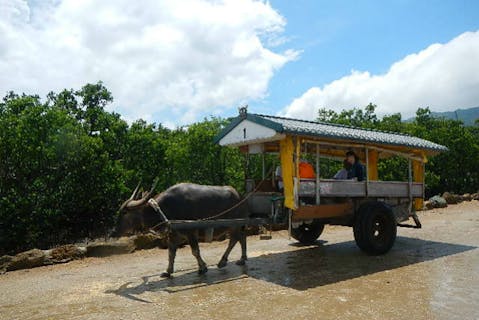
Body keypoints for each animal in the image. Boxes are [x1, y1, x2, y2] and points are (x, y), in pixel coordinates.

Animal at [117, 181, 249, 276]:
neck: (164, 210)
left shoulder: (191, 232)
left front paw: (202, 268)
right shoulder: (173, 234)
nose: (114, 231)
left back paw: (223, 261)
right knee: (241, 238)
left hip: (234, 225)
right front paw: (168, 271)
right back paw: (242, 259)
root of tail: (239, 196)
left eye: (124, 212)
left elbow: (195, 251)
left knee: (234, 239)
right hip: (236, 225)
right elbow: (171, 253)